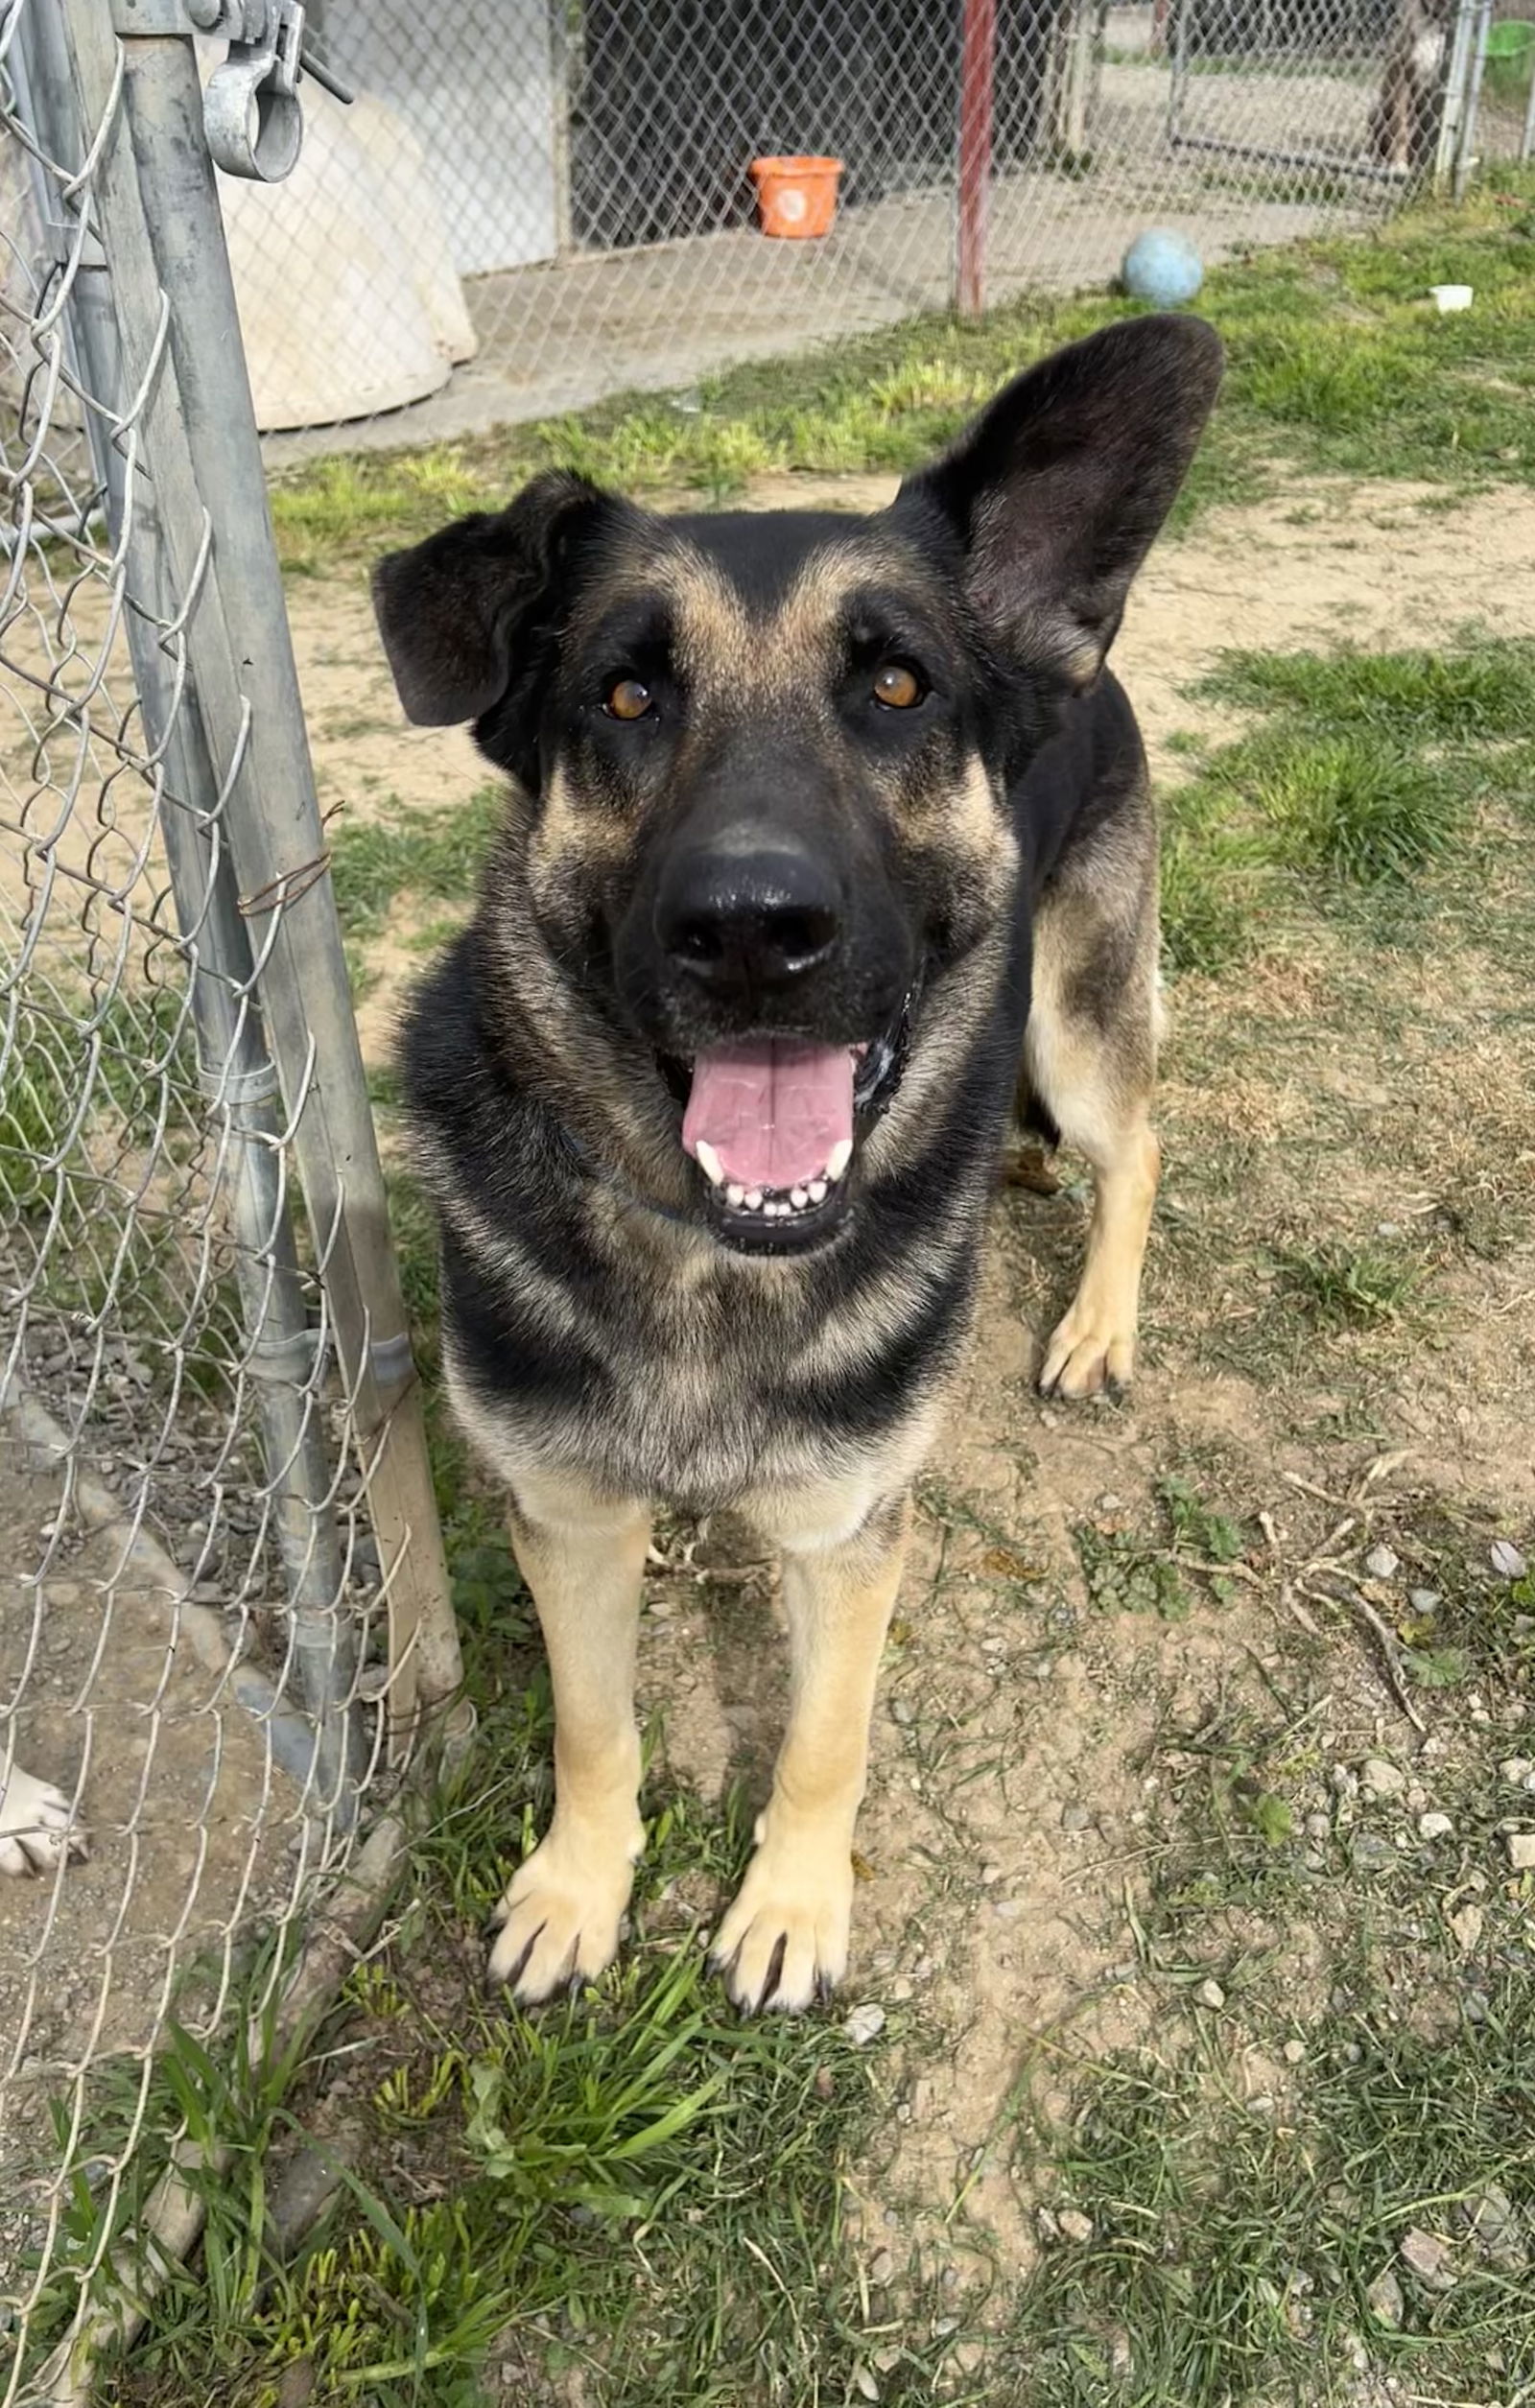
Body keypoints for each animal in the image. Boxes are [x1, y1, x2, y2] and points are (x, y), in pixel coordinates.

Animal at [370, 315, 1218, 2013]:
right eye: (626, 695)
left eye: (895, 683)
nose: (754, 930)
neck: (712, 1261)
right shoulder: (569, 1516)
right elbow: (592, 1725)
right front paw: (579, 1884)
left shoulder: (847, 1533)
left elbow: (825, 1739)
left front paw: (791, 1905)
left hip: (1077, 1020)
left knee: (1139, 1138)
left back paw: (1097, 1322)